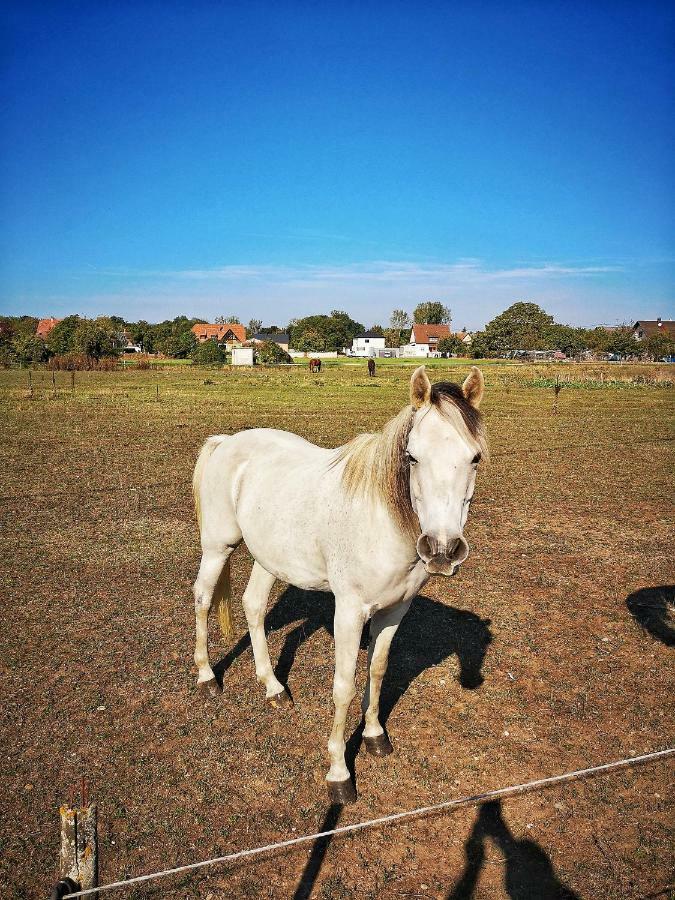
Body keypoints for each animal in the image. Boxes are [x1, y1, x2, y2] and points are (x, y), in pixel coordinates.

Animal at [191, 366, 486, 800]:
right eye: (412, 456)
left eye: (475, 457)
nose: (442, 549)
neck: (383, 520)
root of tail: (227, 441)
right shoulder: (348, 612)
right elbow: (343, 686)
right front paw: (339, 773)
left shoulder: (395, 610)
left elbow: (378, 670)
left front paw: (375, 736)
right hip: (218, 546)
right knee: (202, 598)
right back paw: (207, 678)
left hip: (269, 557)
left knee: (253, 606)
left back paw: (273, 687)